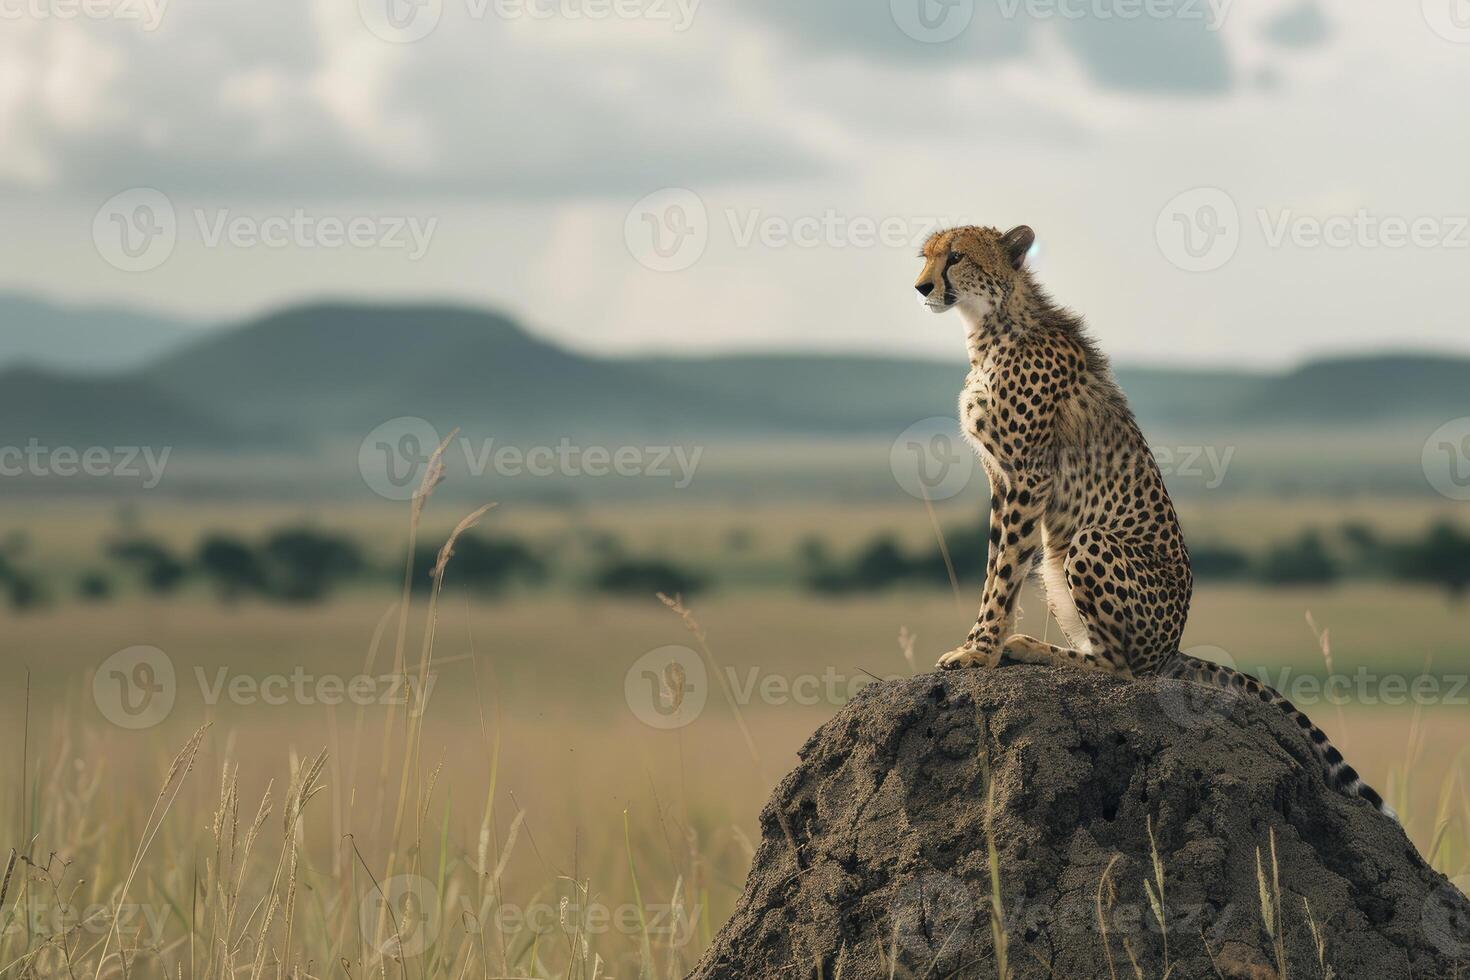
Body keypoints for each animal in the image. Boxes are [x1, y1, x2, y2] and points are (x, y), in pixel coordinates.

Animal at [917, 226, 1387, 816]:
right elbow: (995, 565)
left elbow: (1002, 574)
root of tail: (1172, 648)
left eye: (956, 256)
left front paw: (980, 651)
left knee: (1122, 669)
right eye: (926, 256)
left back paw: (1031, 650)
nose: (922, 286)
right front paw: (982, 643)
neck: (992, 325)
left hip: (1088, 543)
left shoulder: (1027, 476)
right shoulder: (1002, 480)